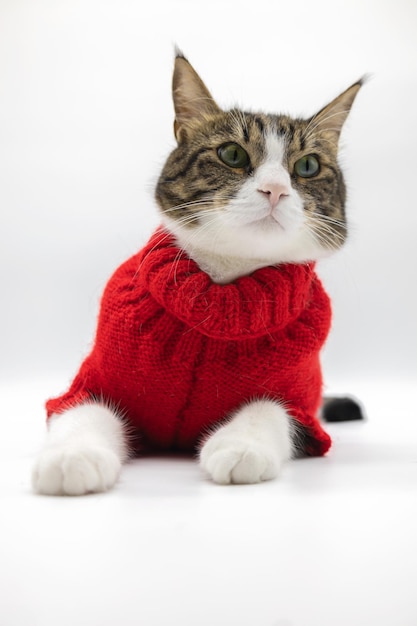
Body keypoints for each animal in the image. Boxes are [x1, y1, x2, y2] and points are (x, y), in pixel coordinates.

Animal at [32, 52, 362, 492]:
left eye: (308, 166)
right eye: (232, 155)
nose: (275, 189)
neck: (220, 295)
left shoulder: (300, 403)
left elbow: (271, 408)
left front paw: (241, 446)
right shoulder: (93, 382)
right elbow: (83, 412)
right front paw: (73, 456)